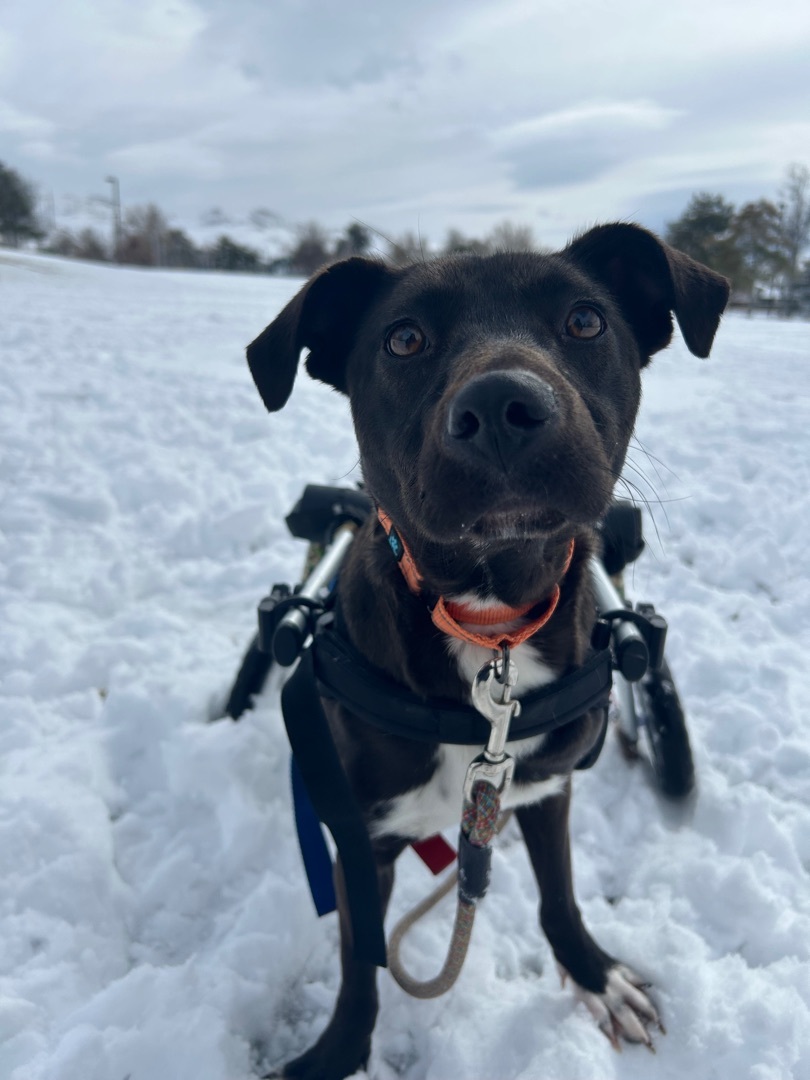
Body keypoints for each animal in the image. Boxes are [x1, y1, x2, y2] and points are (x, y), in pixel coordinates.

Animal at [247, 223, 730, 1075]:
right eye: (403, 338)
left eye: (585, 320)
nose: (503, 407)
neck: (488, 623)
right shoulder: (362, 837)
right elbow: (360, 962)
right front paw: (337, 1051)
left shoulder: (544, 785)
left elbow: (559, 896)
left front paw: (595, 976)